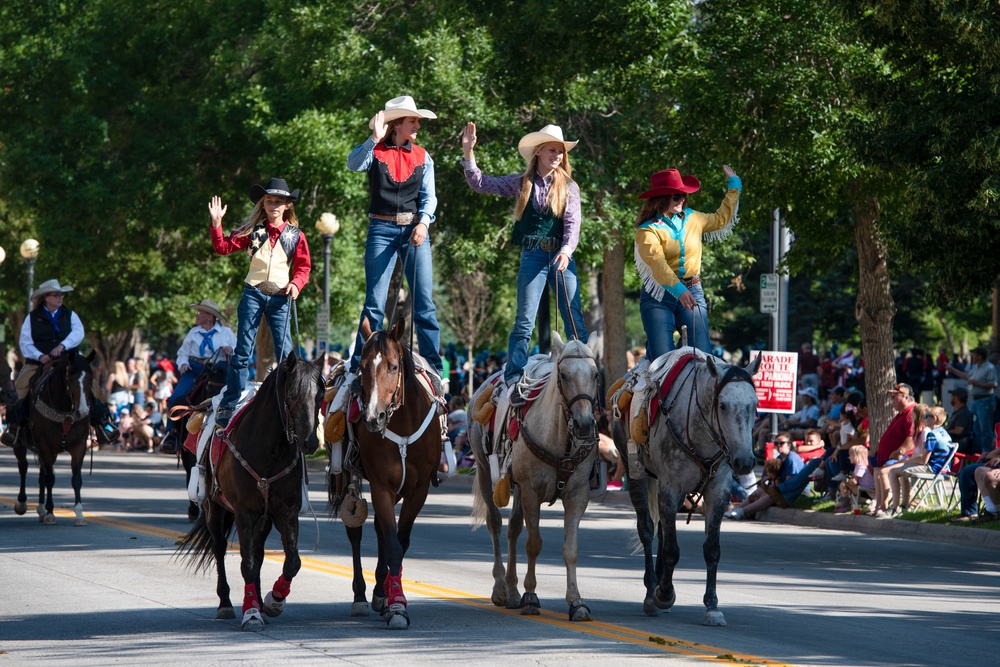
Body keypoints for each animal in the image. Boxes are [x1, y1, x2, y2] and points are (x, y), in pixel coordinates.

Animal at [7, 352, 96, 524]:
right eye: (71, 379)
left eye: (91, 379)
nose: (83, 411)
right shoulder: (45, 446)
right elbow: (50, 479)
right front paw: (50, 512)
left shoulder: (79, 446)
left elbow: (76, 479)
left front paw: (79, 514)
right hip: (21, 445)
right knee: (24, 467)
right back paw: (22, 503)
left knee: (41, 474)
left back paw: (41, 509)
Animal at [176, 352, 324, 636]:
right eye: (293, 395)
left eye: (320, 395)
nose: (311, 442)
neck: (270, 450)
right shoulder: (244, 512)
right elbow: (247, 563)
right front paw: (251, 613)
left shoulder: (285, 513)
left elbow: (292, 562)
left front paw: (273, 600)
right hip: (214, 509)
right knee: (220, 548)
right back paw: (226, 603)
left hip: (263, 519)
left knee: (258, 552)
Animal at [332, 318, 442, 632]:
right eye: (363, 366)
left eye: (393, 366)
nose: (372, 417)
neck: (404, 424)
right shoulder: (382, 486)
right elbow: (392, 545)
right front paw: (397, 607)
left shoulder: (418, 490)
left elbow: (399, 542)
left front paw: (390, 598)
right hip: (346, 479)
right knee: (356, 533)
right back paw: (360, 596)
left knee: (381, 531)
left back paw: (380, 592)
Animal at [466, 332, 596, 620]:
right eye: (563, 375)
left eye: (595, 373)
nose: (584, 424)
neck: (560, 437)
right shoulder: (532, 491)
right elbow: (534, 543)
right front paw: (530, 596)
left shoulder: (577, 495)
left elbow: (571, 550)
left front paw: (576, 602)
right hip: (486, 473)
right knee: (495, 525)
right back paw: (502, 588)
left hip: (515, 487)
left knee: (513, 529)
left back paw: (513, 590)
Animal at [608, 350, 756, 628]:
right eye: (722, 405)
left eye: (754, 405)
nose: (745, 461)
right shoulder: (670, 487)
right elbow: (671, 549)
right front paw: (663, 594)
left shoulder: (719, 491)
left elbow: (711, 549)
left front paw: (712, 606)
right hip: (635, 472)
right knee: (647, 530)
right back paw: (652, 591)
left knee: (663, 532)